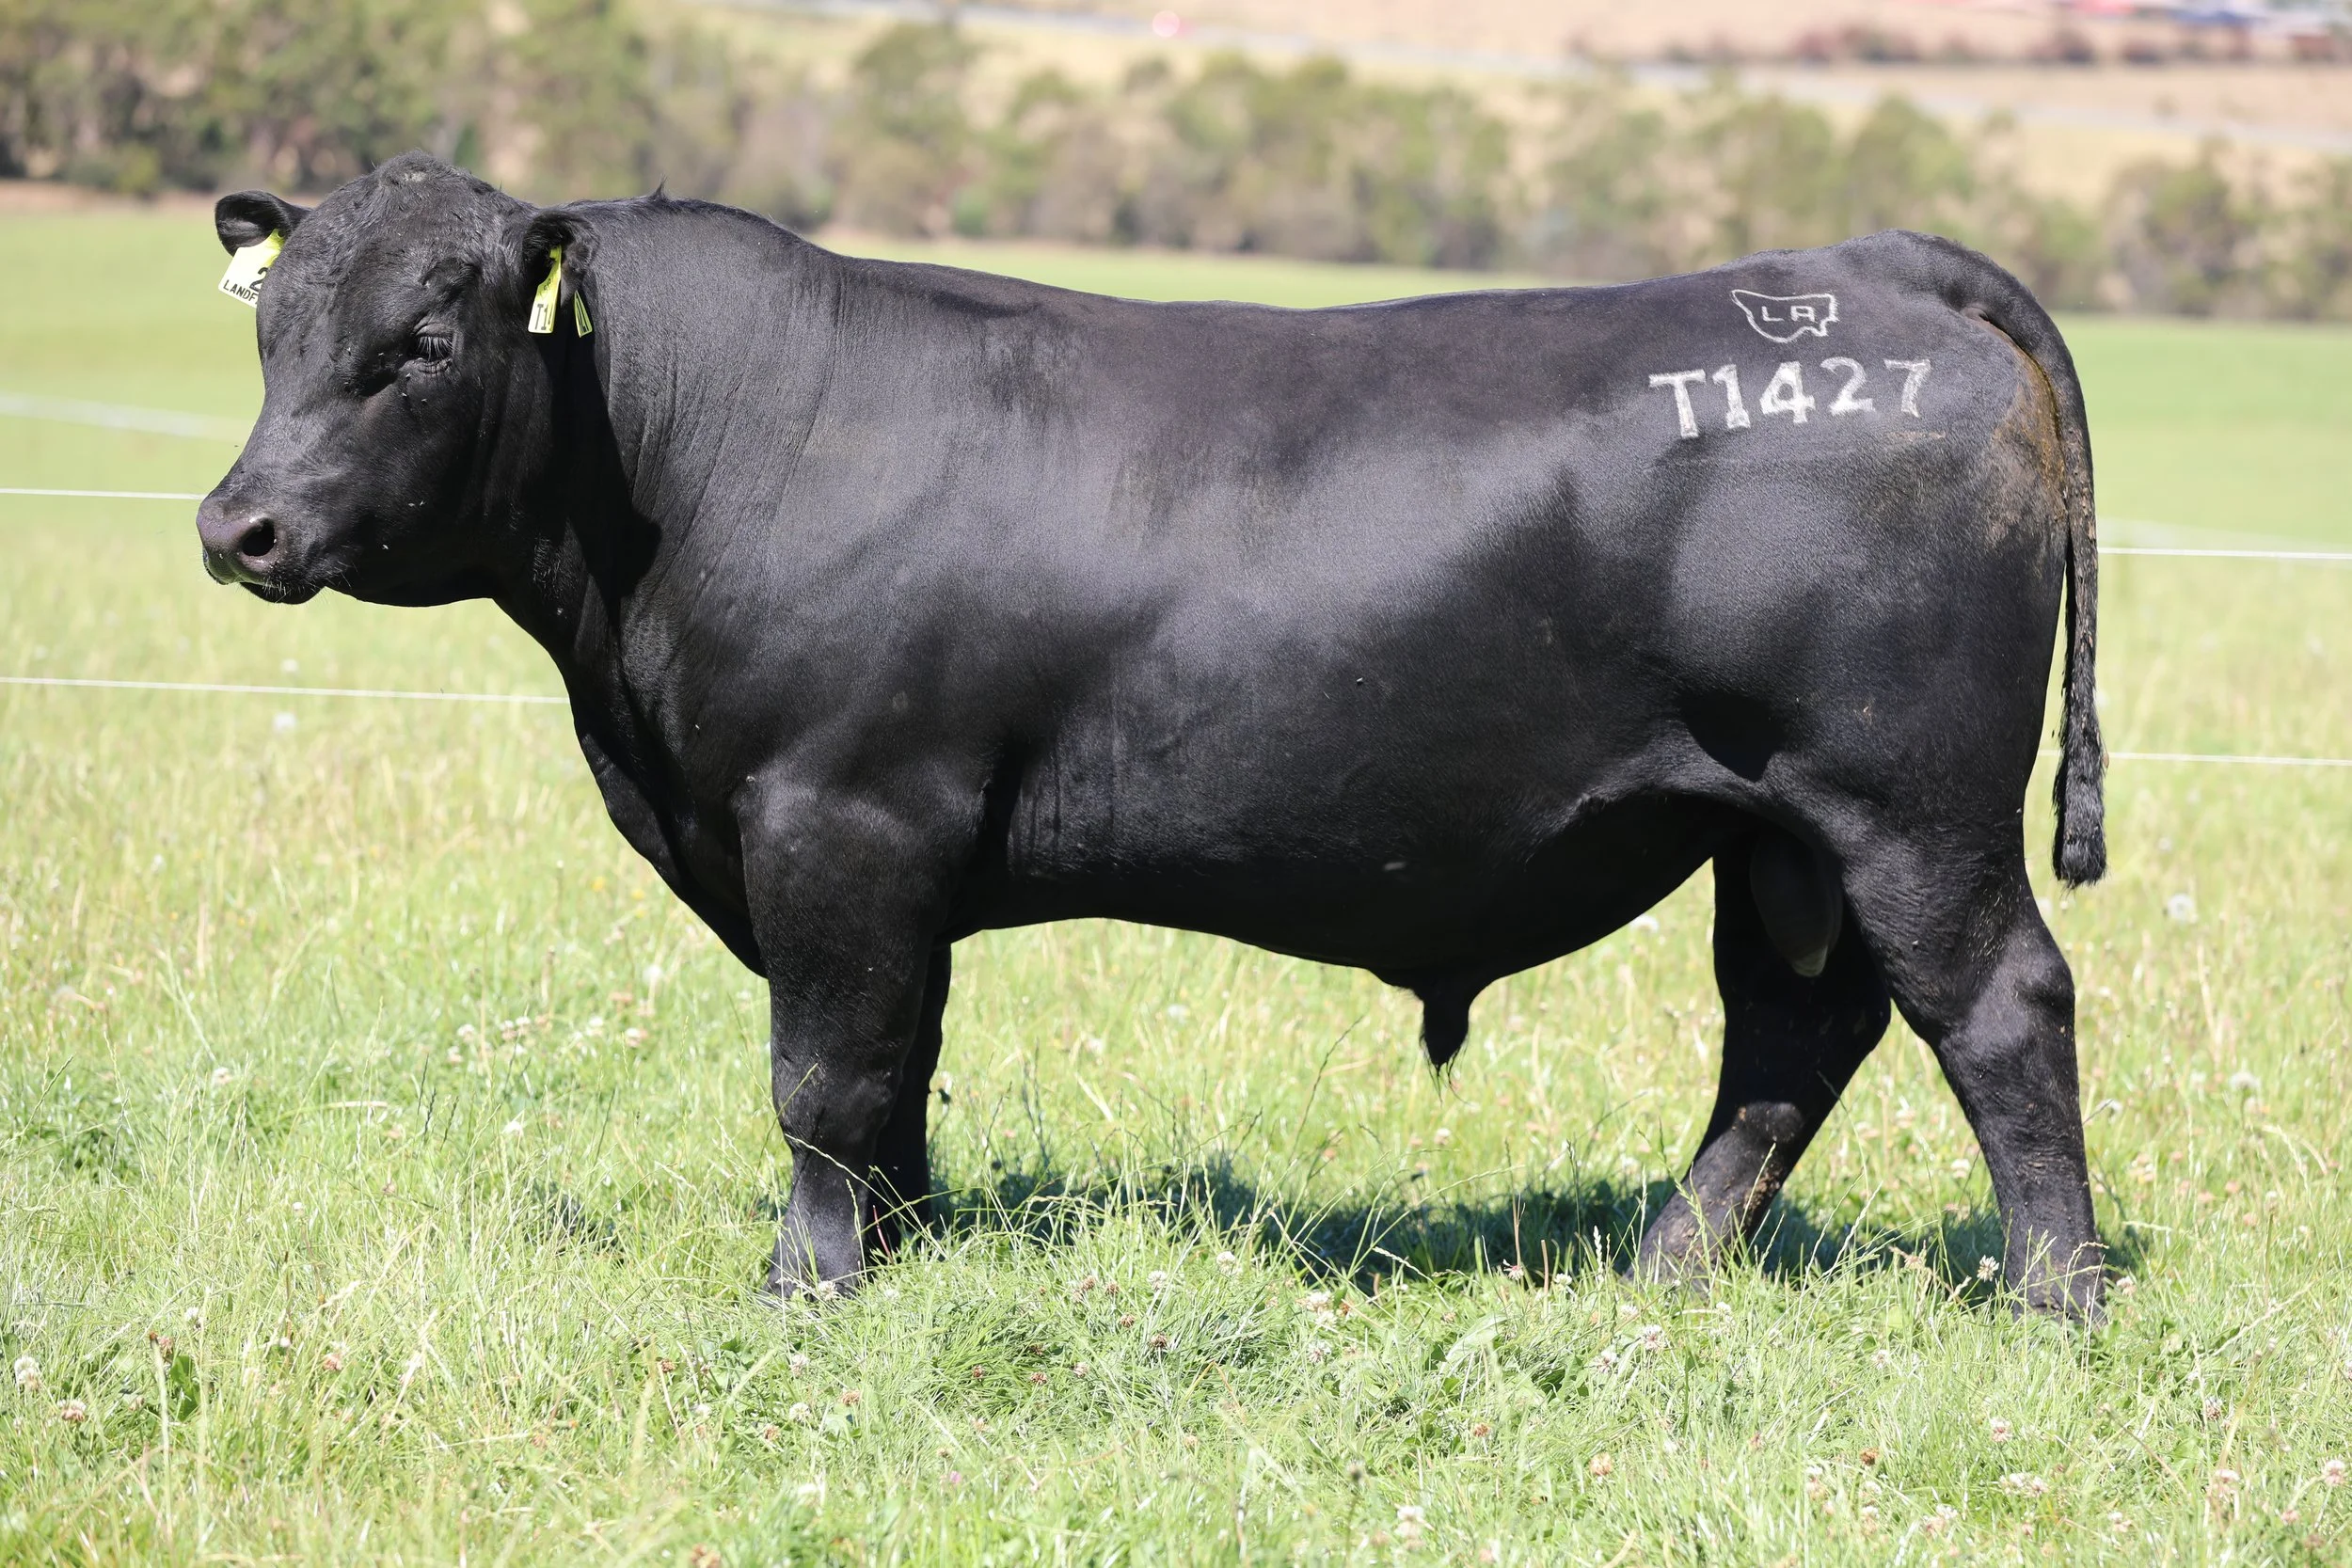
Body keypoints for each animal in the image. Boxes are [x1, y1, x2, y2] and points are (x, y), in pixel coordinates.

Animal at [197, 152, 2109, 1317]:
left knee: (1997, 1007)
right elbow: (896, 1066)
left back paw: (2056, 1292)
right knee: (1792, 1036)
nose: (240, 527)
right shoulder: (883, 860)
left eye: (421, 342)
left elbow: (824, 1074)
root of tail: (1858, 270)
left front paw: (809, 1289)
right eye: (274, 330)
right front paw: (908, 1250)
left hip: (1903, 801)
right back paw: (1663, 1271)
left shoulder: (837, 815)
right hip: (1775, 830)